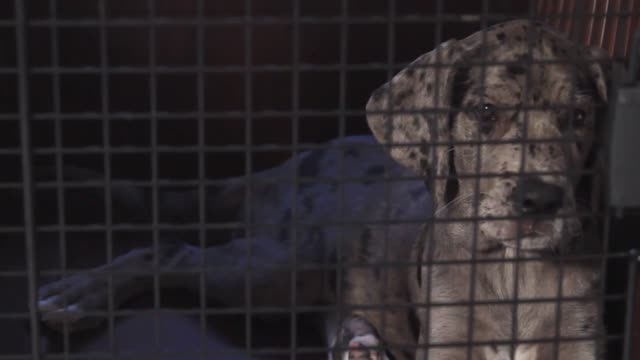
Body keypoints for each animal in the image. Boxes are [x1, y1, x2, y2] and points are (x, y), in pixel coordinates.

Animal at [38, 19, 608, 360]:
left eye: (579, 118)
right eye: (486, 112)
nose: (540, 200)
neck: (515, 269)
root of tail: (284, 168)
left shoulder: (580, 336)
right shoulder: (448, 340)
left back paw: (359, 340)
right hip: (277, 268)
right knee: (169, 251)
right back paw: (80, 296)